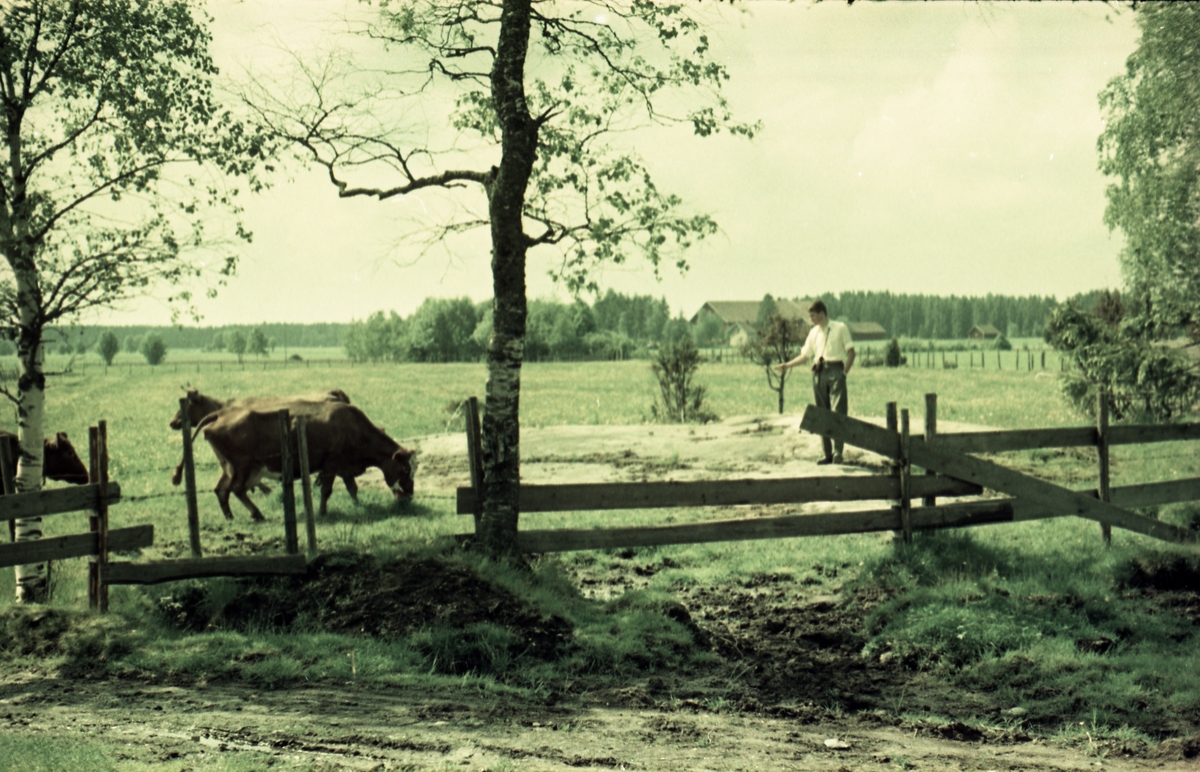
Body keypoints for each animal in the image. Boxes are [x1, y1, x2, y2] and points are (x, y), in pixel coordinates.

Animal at [195, 401, 417, 523]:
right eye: (406, 469)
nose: (409, 496)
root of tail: (222, 413)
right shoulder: (331, 464)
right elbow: (326, 490)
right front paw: (322, 512)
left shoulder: (344, 466)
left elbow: (352, 488)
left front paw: (358, 505)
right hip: (243, 467)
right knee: (236, 489)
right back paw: (257, 514)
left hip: (231, 468)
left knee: (221, 490)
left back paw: (230, 517)